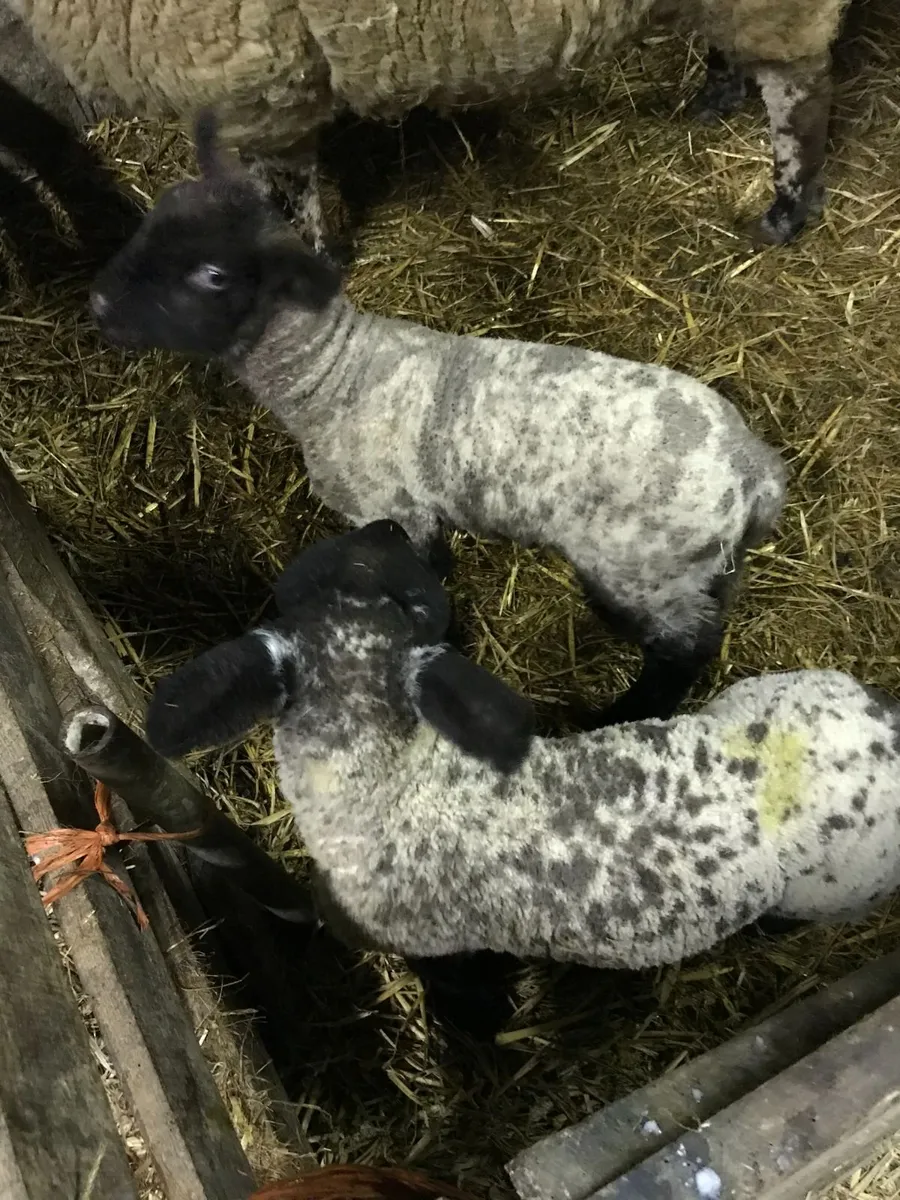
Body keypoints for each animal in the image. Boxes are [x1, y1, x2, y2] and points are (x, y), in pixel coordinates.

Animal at [89, 113, 787, 727]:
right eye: (157, 217)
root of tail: (755, 470)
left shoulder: (396, 509)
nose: (96, 302)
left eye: (211, 275)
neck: (332, 374)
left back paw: (618, 716)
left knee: (681, 653)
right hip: (701, 569)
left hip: (642, 571)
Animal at [145, 519, 900, 985]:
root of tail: (886, 722)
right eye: (306, 587)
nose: (386, 527)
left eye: (414, 601)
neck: (392, 781)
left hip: (835, 893)